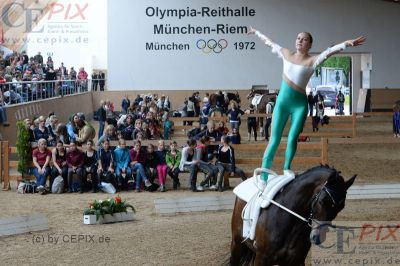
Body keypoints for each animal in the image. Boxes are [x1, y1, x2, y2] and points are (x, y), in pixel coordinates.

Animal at [228, 165, 356, 264]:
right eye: (323, 201)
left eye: (341, 207)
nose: (318, 237)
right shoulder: (261, 258)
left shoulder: (296, 260)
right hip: (236, 243)